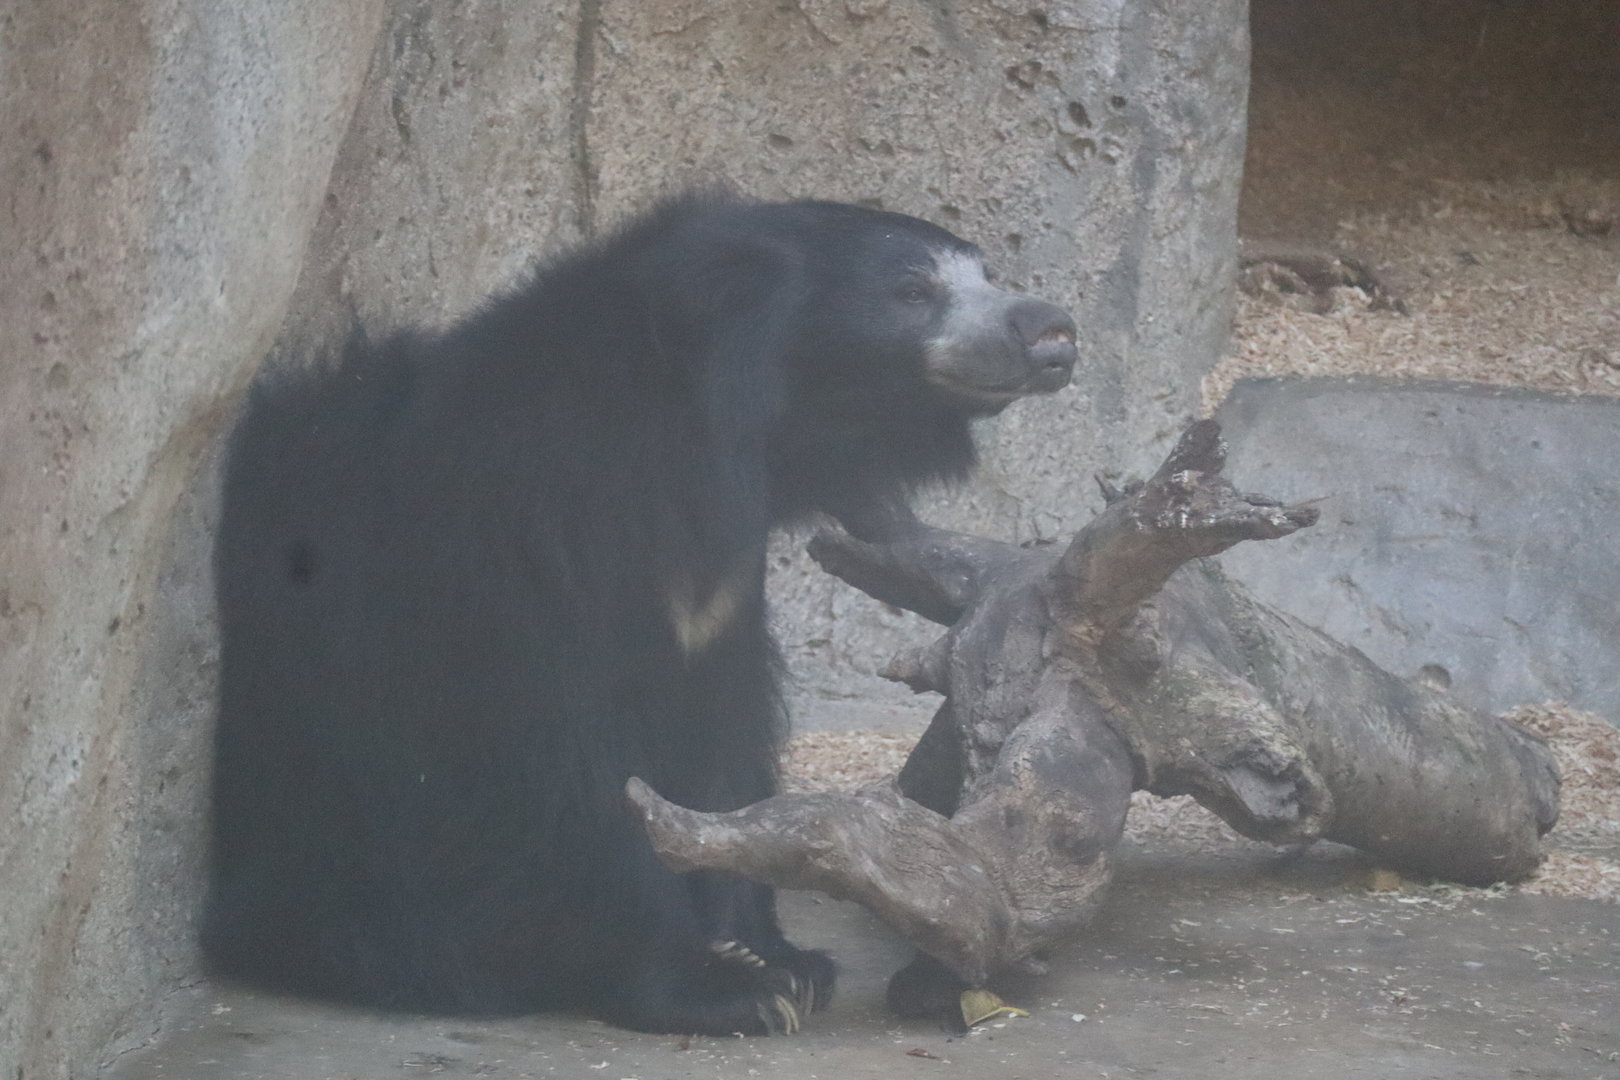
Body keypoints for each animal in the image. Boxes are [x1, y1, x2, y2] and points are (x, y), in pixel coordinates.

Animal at [203, 192, 1077, 1036]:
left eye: (984, 274)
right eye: (912, 290)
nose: (1051, 331)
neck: (712, 434)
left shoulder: (720, 584)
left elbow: (719, 740)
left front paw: (776, 959)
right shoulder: (528, 553)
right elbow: (575, 767)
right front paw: (722, 990)